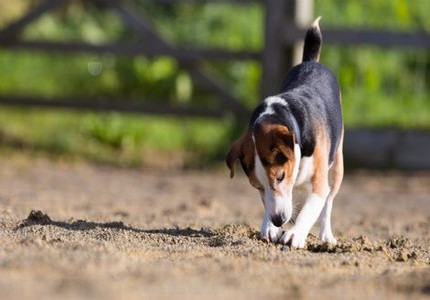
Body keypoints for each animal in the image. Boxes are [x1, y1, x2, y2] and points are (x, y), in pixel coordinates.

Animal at [225, 17, 342, 250]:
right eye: (257, 186)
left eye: (280, 176)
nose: (278, 220)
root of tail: (311, 62)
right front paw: (269, 227)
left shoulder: (318, 184)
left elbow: (310, 209)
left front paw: (294, 234)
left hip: (336, 168)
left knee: (327, 203)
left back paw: (325, 235)